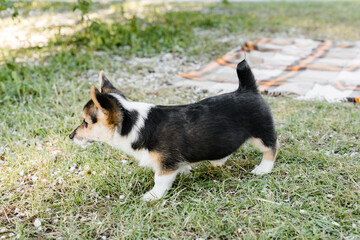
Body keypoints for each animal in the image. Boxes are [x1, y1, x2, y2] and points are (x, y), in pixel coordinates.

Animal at [69, 60, 278, 201]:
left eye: (85, 122)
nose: (70, 136)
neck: (133, 122)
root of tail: (247, 88)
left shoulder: (166, 163)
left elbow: (160, 180)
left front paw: (152, 196)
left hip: (261, 133)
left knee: (271, 149)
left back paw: (263, 169)